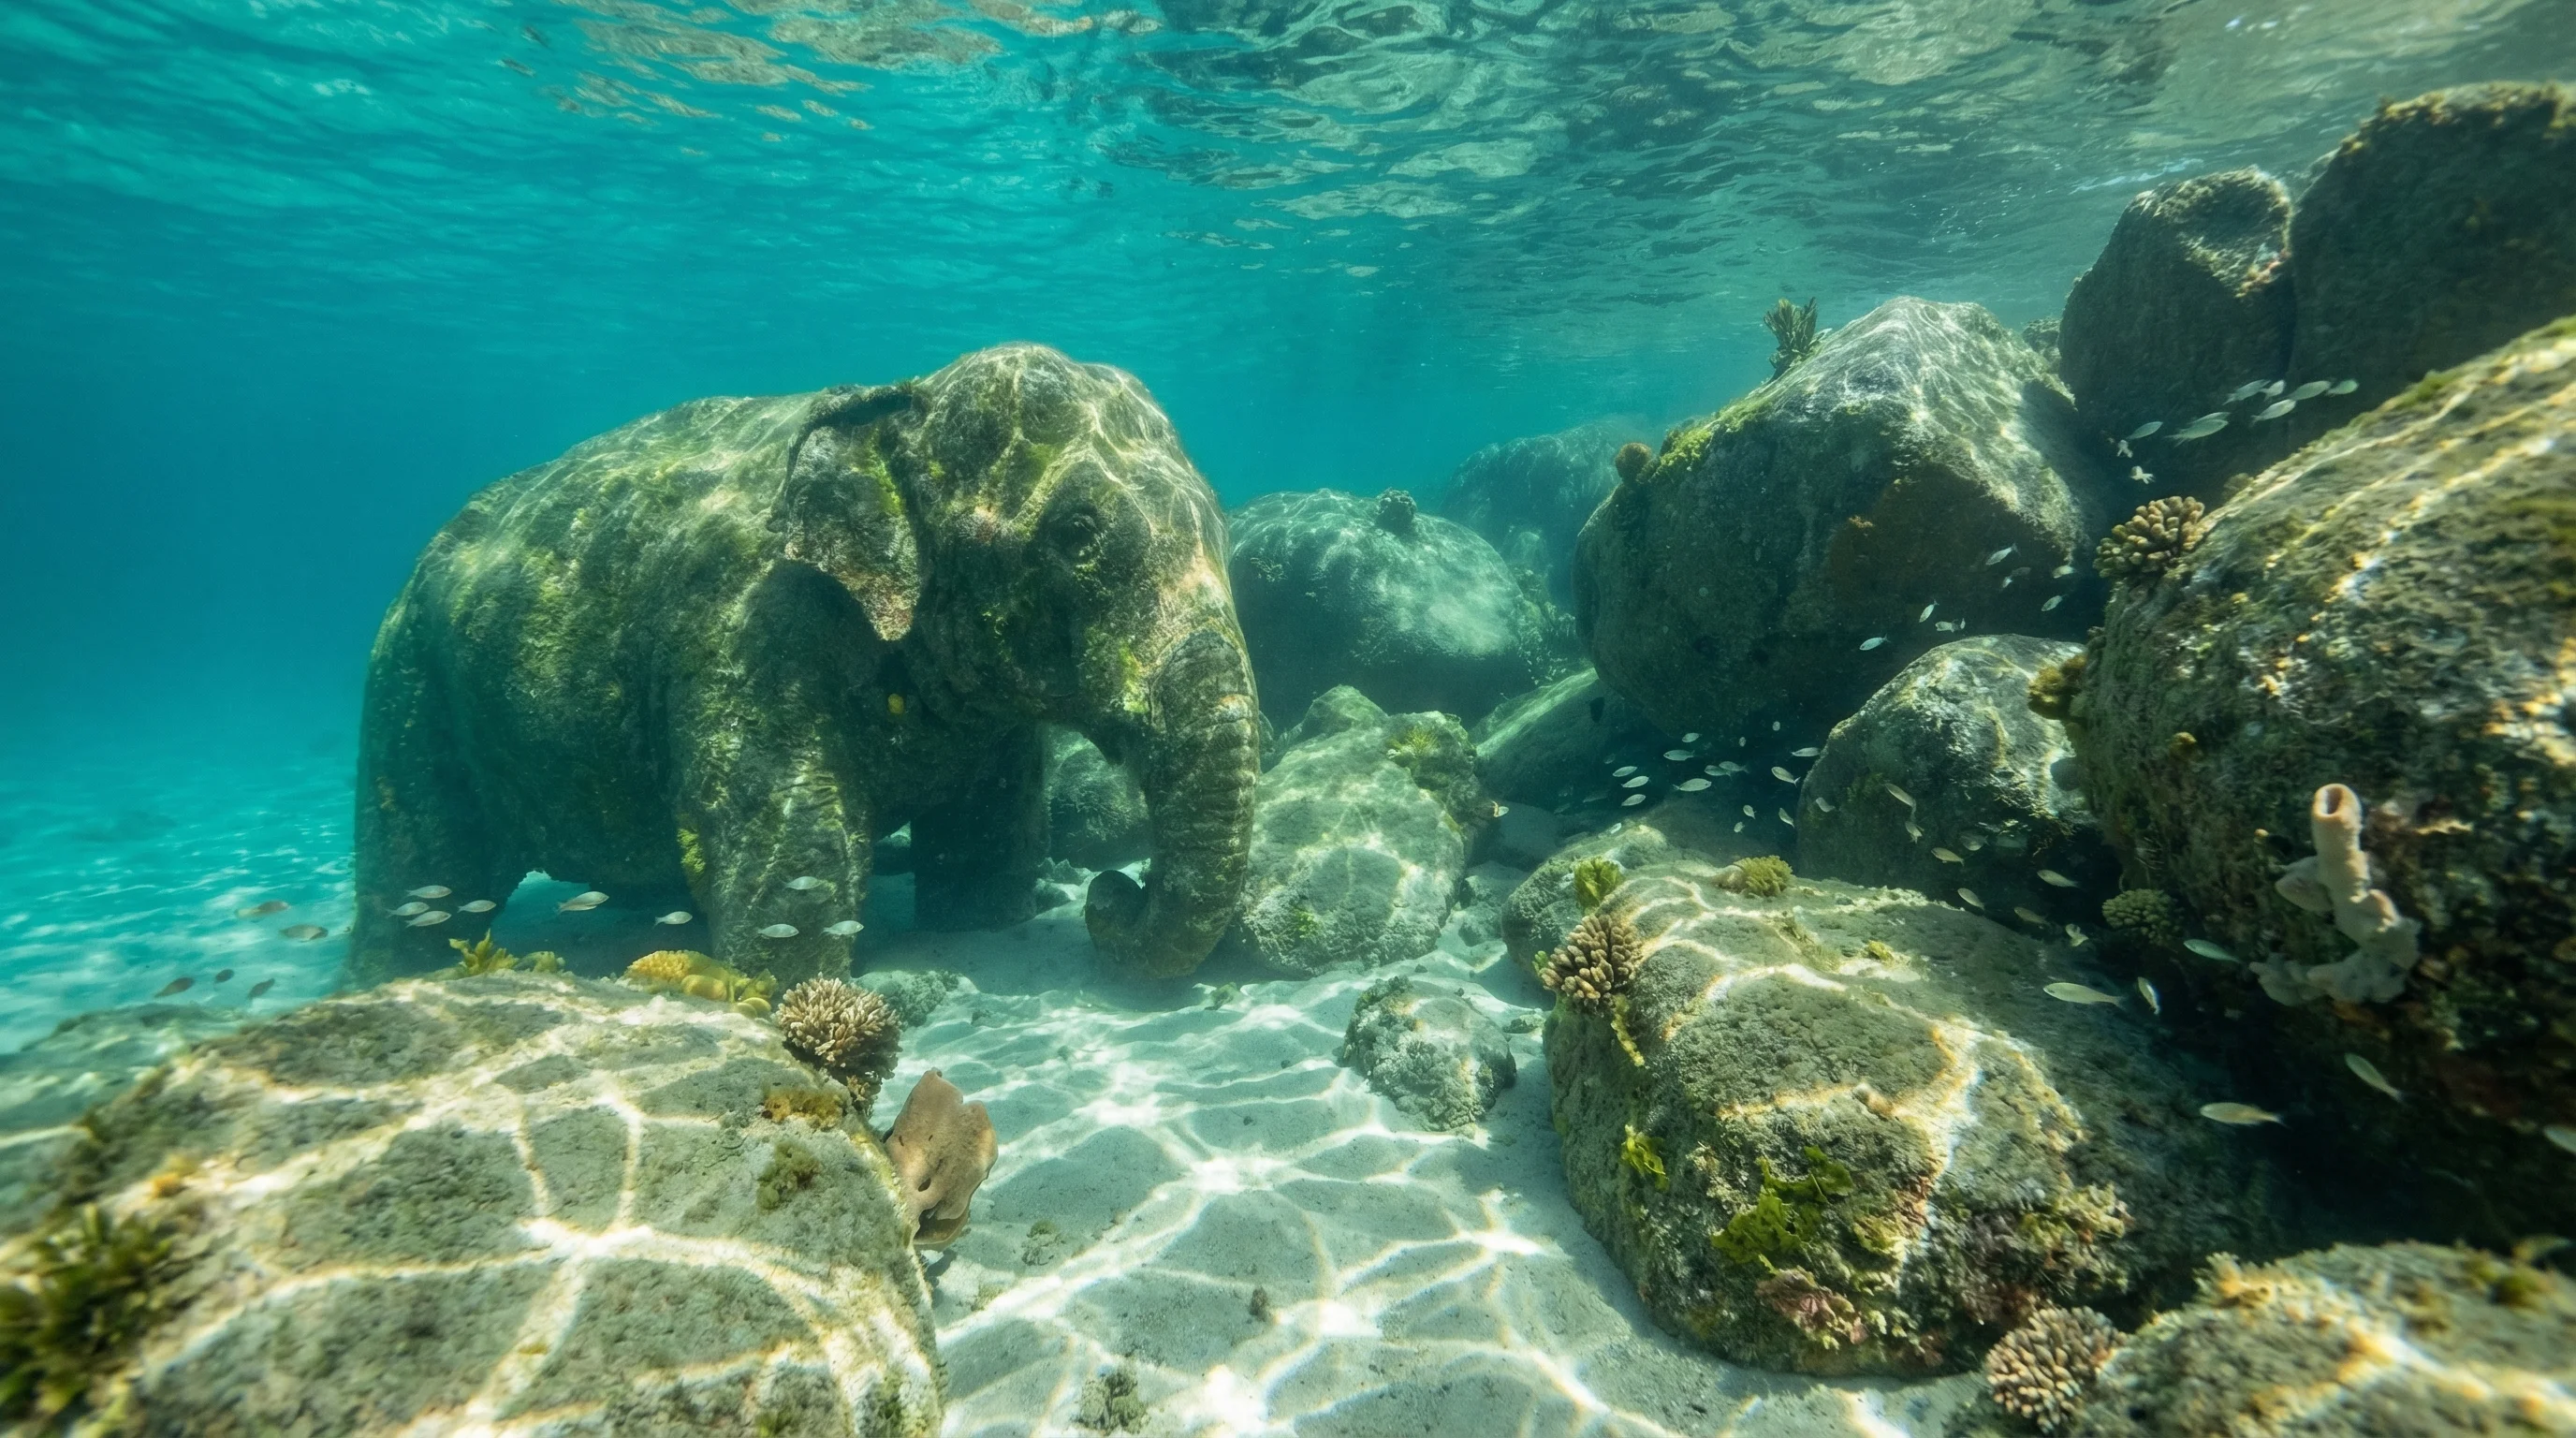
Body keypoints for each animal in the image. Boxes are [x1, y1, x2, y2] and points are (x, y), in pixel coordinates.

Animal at [350, 344, 1260, 986]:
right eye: (1078, 537)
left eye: (1222, 526)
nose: (1111, 892)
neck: (900, 396)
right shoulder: (751, 633)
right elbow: (801, 839)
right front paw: (771, 988)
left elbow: (998, 825)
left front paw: (979, 925)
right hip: (408, 686)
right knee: (425, 861)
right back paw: (392, 979)